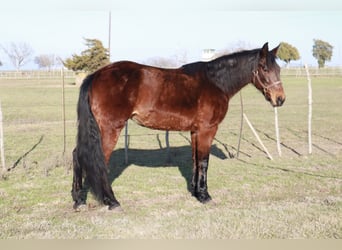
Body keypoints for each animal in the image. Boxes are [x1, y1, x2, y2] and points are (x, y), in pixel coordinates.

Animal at [71, 42, 286, 209]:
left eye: (279, 70)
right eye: (264, 69)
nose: (280, 99)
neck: (215, 82)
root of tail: (96, 75)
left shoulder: (195, 131)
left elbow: (195, 160)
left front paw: (196, 192)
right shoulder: (208, 130)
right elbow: (204, 161)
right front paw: (205, 196)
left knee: (78, 155)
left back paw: (78, 200)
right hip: (110, 129)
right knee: (99, 160)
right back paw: (112, 201)